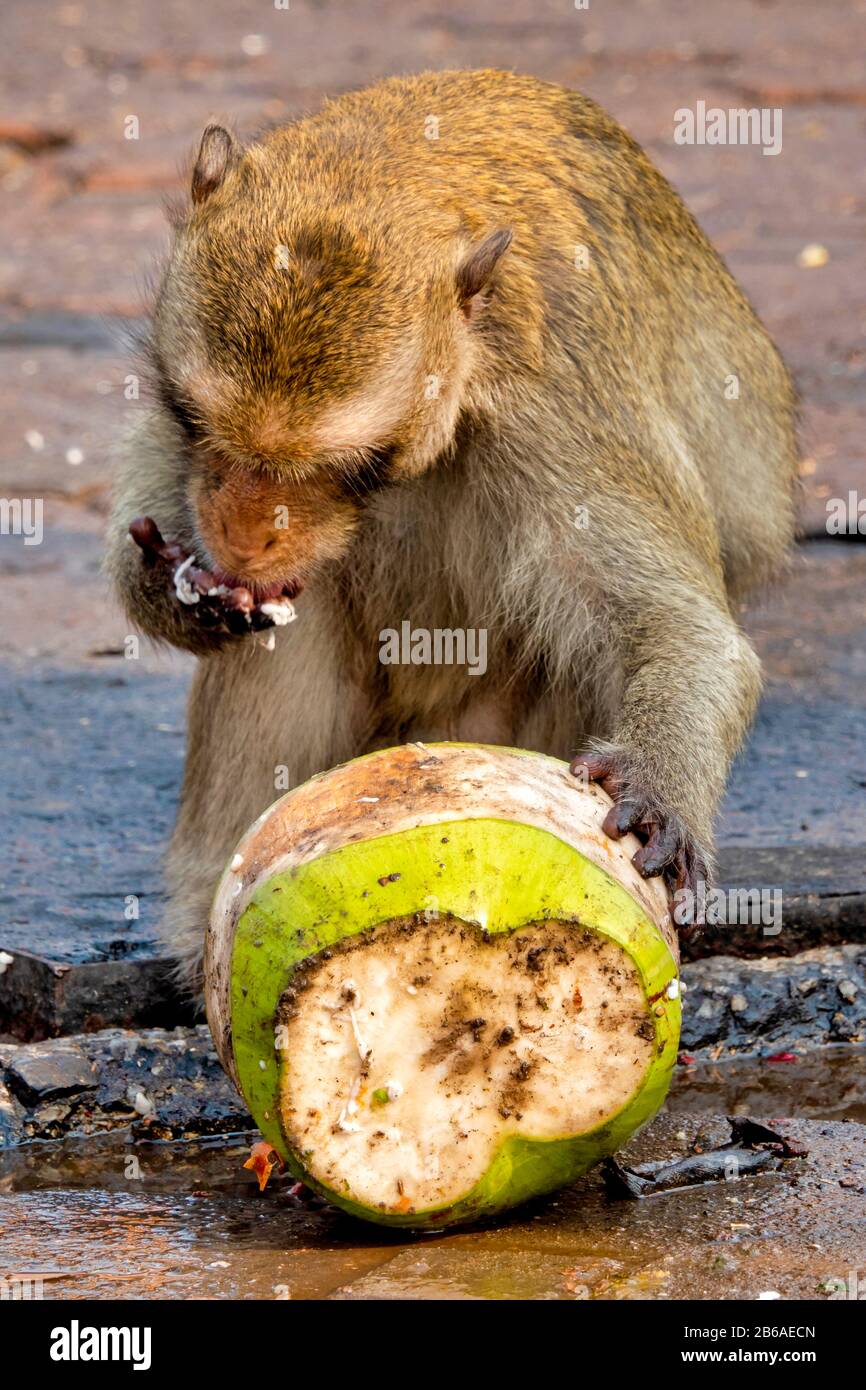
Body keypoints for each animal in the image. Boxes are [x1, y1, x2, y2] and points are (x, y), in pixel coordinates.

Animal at [107, 70, 800, 995]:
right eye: (190, 416)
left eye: (363, 466)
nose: (245, 541)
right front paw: (168, 589)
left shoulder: (556, 399)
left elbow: (681, 631)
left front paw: (659, 792)